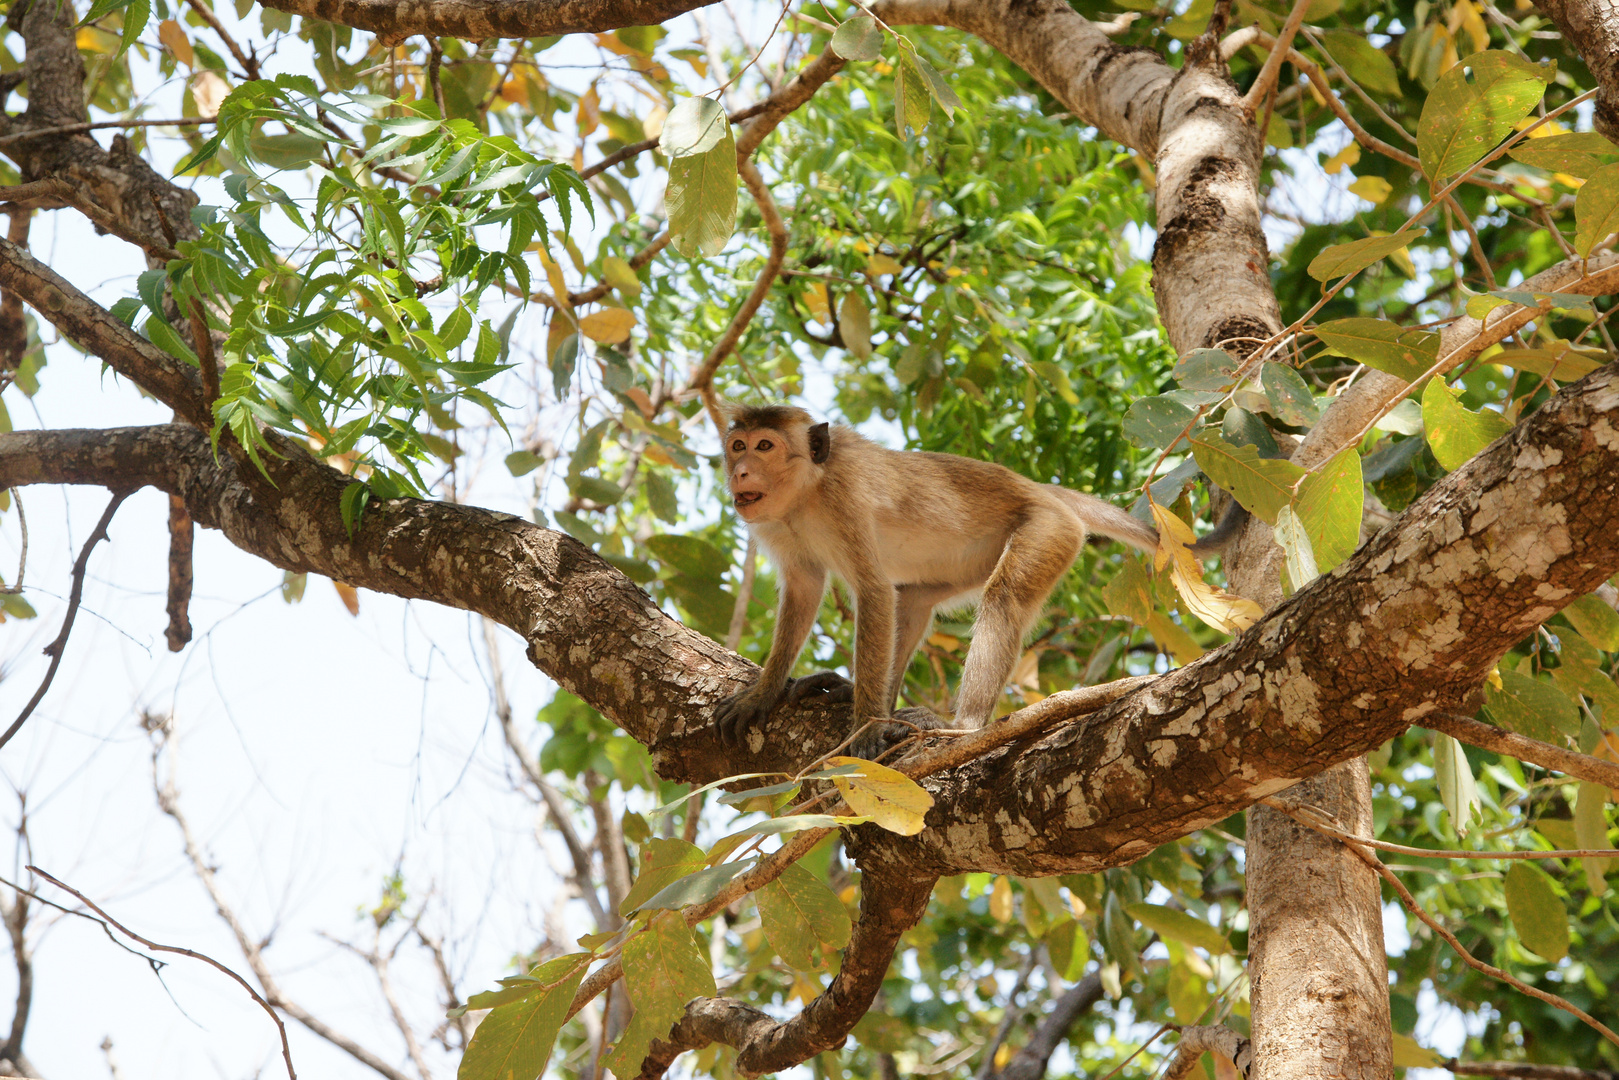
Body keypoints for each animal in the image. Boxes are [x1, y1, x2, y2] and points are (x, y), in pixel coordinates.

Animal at [712, 401, 1223, 757]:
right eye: (738, 446)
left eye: (765, 447)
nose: (741, 472)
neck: (805, 494)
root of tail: (1042, 491)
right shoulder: (776, 527)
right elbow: (805, 589)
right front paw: (763, 693)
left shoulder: (844, 498)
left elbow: (873, 591)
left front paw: (868, 726)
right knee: (912, 601)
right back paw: (860, 693)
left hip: (1049, 528)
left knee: (1004, 597)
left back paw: (963, 726)